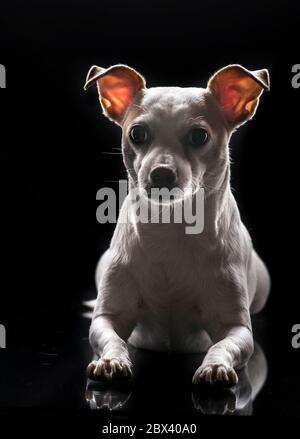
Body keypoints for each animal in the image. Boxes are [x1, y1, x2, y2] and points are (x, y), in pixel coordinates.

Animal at [83, 63, 270, 386]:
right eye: (137, 133)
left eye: (199, 136)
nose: (161, 173)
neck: (169, 227)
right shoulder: (106, 319)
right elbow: (113, 338)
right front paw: (111, 360)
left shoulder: (237, 329)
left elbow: (223, 345)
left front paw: (215, 366)